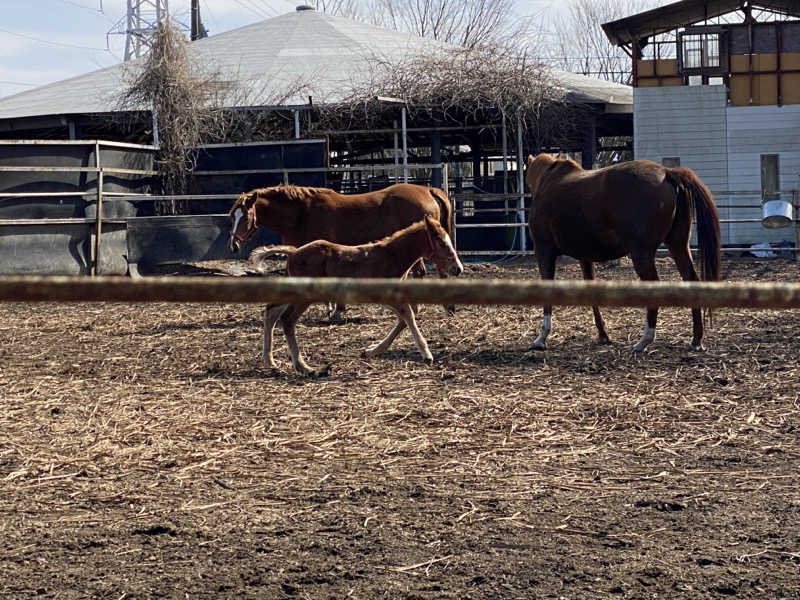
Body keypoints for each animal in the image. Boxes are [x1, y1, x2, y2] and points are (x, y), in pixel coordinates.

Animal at [248, 216, 462, 376]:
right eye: (441, 242)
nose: (458, 268)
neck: (391, 256)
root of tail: (293, 253)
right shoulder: (385, 296)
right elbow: (408, 314)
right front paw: (426, 354)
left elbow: (405, 317)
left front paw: (371, 351)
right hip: (305, 296)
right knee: (287, 319)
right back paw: (304, 367)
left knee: (271, 310)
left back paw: (270, 361)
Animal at [524, 152, 720, 354]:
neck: (549, 181)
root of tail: (667, 172)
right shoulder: (585, 257)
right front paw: (603, 334)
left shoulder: (544, 250)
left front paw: (541, 338)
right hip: (678, 245)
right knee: (691, 280)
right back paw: (696, 339)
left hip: (642, 253)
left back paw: (644, 340)